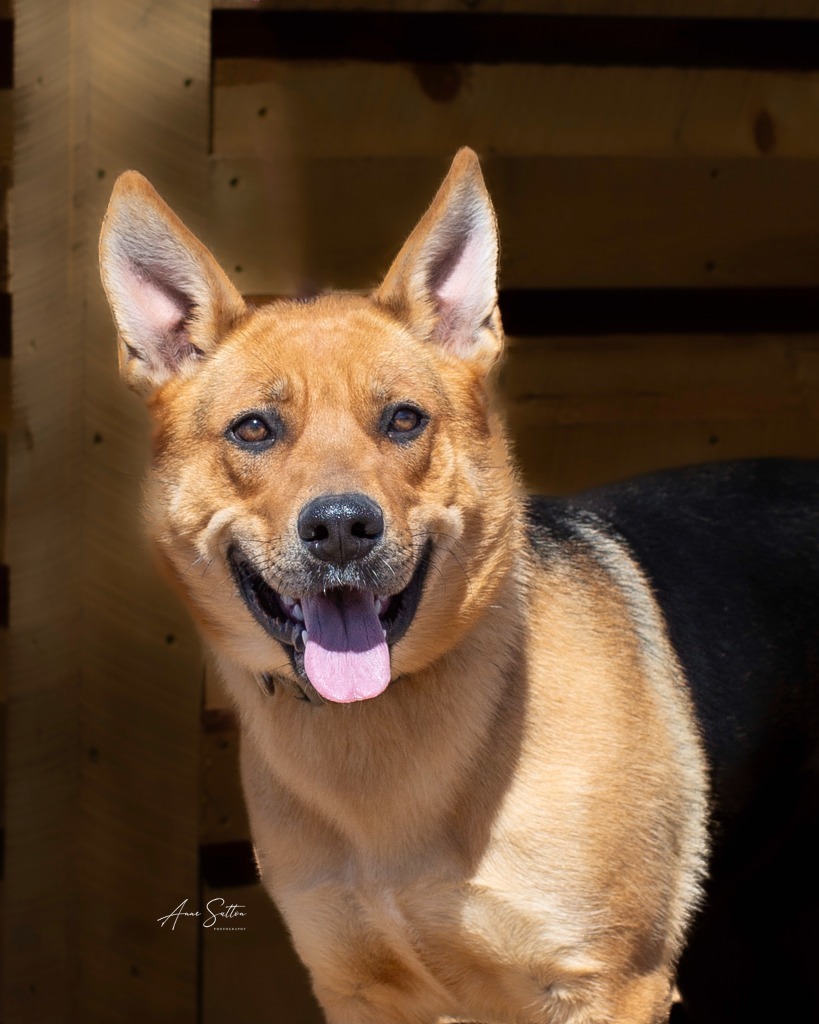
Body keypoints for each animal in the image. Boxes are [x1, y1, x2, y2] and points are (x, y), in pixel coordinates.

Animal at [97, 148, 818, 1019]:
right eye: (255, 430)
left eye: (404, 420)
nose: (342, 528)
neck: (378, 739)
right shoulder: (360, 992)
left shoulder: (612, 983)